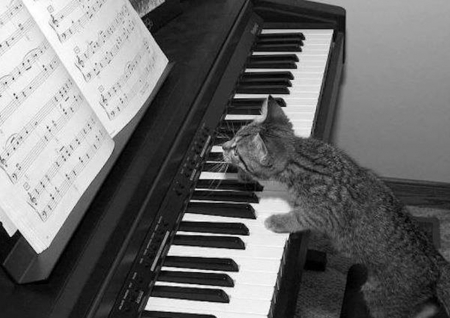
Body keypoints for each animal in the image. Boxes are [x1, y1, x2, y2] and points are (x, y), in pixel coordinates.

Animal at [221, 96, 450, 318]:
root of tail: (436, 262)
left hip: (379, 296)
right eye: (234, 137)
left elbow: (298, 217)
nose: (223, 146)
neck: (302, 157)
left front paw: (277, 220)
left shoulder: (319, 214)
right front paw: (244, 176)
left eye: (236, 151)